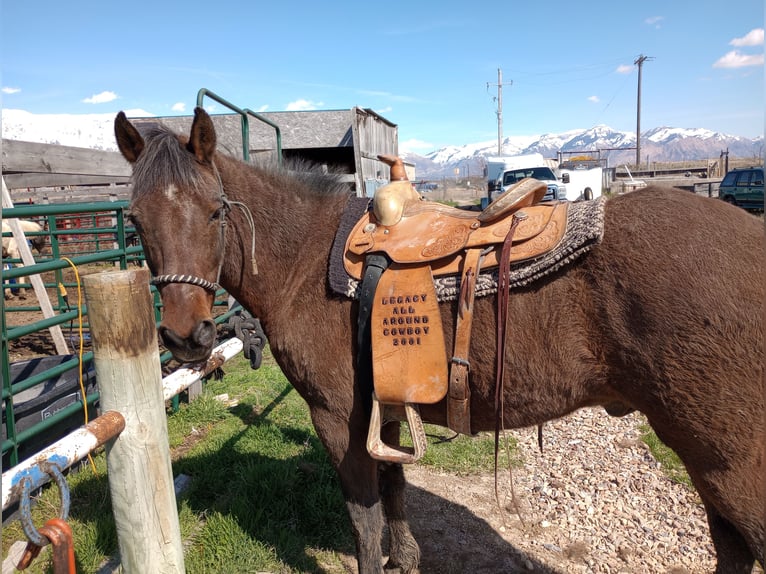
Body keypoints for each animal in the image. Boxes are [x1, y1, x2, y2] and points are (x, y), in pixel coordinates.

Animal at [115, 109, 766, 574]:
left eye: (214, 213)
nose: (186, 335)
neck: (306, 261)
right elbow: (396, 490)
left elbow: (365, 518)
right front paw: (407, 560)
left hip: (730, 461)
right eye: (136, 219)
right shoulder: (385, 406)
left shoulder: (336, 417)